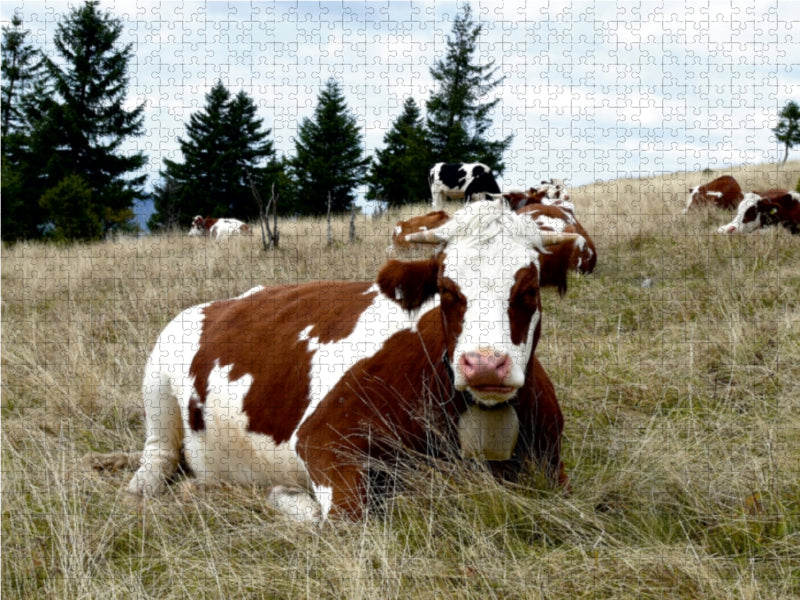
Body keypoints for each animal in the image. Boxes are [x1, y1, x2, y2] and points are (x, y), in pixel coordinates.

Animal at [125, 199, 576, 524]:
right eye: (447, 290)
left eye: (529, 290)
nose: (483, 364)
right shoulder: (323, 439)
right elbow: (344, 518)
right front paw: (288, 498)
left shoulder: (553, 465)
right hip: (157, 383)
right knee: (158, 456)